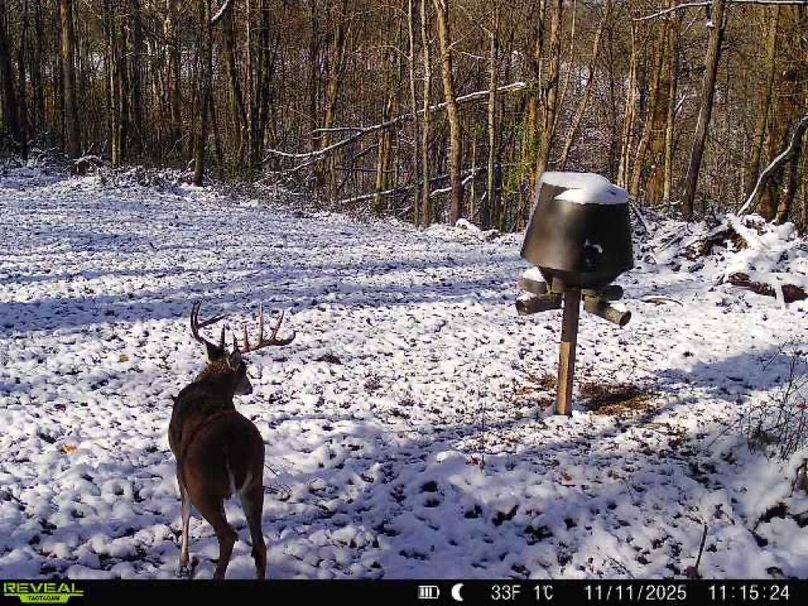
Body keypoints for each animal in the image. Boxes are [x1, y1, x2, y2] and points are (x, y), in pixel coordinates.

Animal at [169, 301, 295, 580]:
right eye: (245, 370)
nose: (250, 387)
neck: (210, 385)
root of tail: (233, 444)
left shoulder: (179, 466)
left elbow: (184, 511)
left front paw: (183, 563)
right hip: (255, 482)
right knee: (259, 546)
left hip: (203, 483)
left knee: (228, 535)